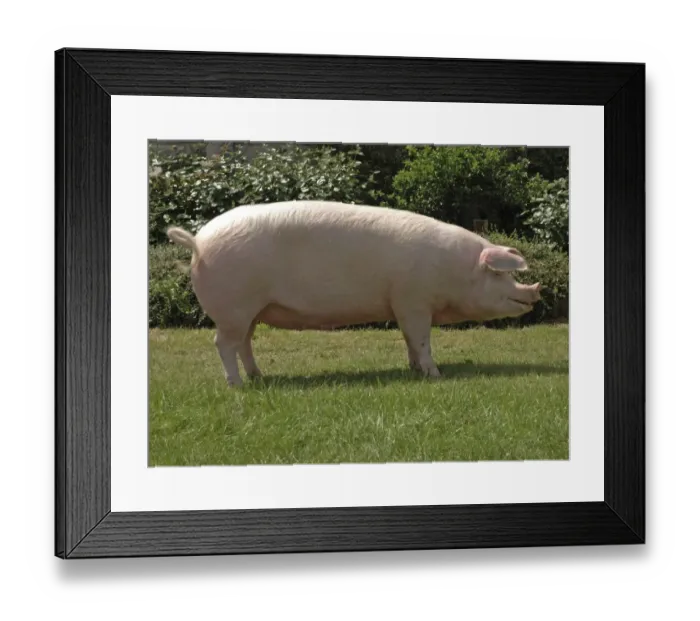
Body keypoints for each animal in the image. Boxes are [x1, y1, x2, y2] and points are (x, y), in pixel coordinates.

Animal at [166, 200, 541, 386]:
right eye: (499, 273)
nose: (535, 291)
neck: (452, 270)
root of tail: (198, 242)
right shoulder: (413, 300)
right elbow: (422, 340)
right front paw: (435, 375)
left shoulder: (401, 305)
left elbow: (409, 340)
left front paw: (414, 371)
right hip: (233, 308)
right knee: (223, 344)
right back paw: (237, 385)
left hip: (250, 311)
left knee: (244, 343)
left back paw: (259, 377)